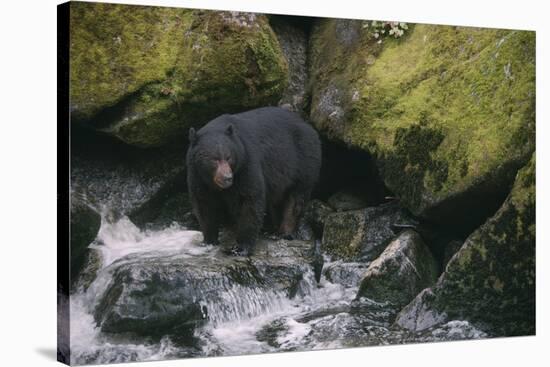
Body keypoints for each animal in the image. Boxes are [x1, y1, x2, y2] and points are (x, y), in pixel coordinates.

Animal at [188, 106, 324, 256]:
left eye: (229, 157)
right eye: (214, 159)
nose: (228, 178)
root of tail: (308, 126)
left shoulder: (246, 164)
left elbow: (250, 201)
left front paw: (241, 247)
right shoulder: (198, 176)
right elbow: (204, 205)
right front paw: (208, 240)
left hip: (303, 162)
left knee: (296, 199)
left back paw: (285, 231)